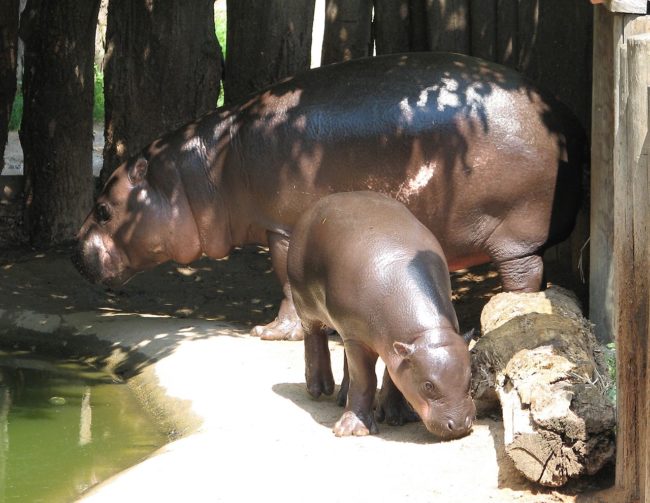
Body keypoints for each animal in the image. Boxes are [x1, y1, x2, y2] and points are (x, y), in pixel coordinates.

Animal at [73, 51, 584, 343]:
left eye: (103, 209)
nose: (73, 253)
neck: (196, 171)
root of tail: (563, 113)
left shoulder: (280, 227)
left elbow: (284, 283)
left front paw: (269, 332)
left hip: (513, 233)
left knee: (525, 276)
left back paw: (502, 316)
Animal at [287, 191, 475, 438]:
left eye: (470, 379)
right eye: (428, 385)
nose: (460, 425)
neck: (425, 333)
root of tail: (314, 207)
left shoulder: (394, 346)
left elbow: (393, 377)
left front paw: (398, 416)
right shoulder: (358, 338)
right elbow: (365, 379)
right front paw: (353, 430)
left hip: (350, 331)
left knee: (345, 357)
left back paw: (342, 398)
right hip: (306, 303)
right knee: (313, 335)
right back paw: (319, 388)